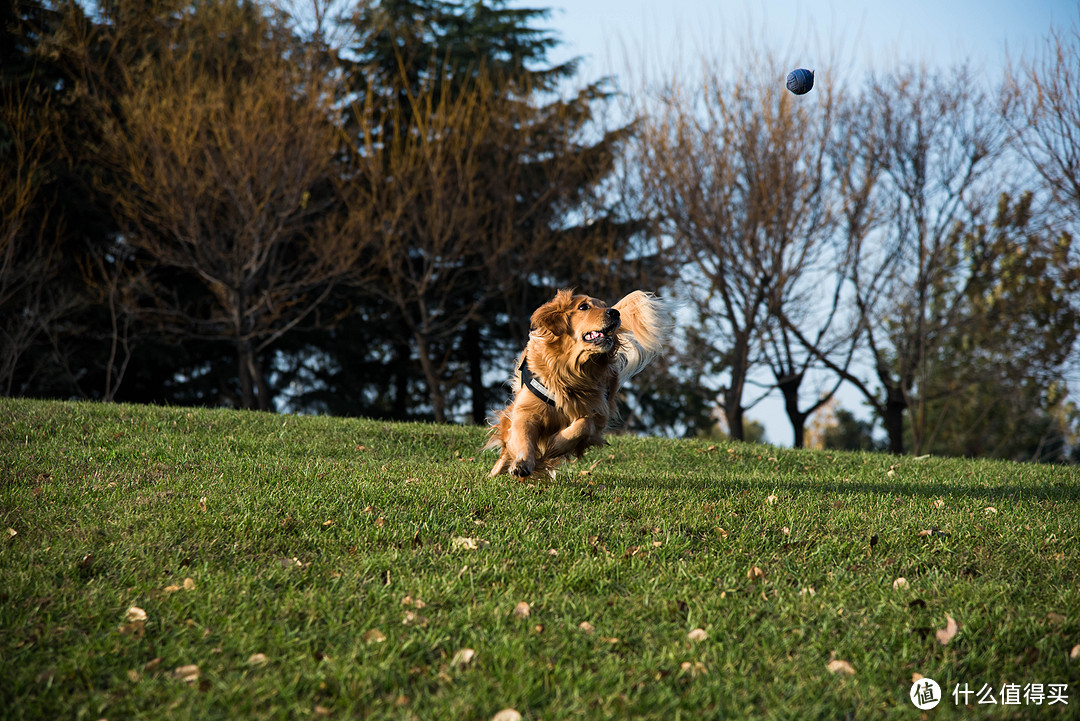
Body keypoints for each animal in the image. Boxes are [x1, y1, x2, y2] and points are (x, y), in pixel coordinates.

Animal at [488, 287, 669, 479]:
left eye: (604, 305)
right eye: (583, 307)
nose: (615, 312)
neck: (571, 372)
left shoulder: (598, 415)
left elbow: (583, 425)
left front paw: (554, 445)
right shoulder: (526, 409)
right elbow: (522, 436)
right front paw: (522, 463)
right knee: (506, 447)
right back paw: (494, 473)